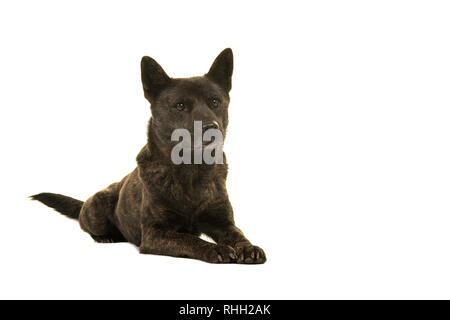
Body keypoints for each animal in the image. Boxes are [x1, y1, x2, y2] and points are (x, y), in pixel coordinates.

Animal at [32, 48, 268, 264]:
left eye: (215, 102)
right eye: (180, 105)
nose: (212, 129)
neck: (191, 170)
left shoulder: (223, 223)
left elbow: (238, 234)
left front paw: (248, 247)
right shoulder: (156, 234)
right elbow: (190, 240)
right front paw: (215, 249)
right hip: (98, 207)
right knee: (87, 226)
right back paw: (106, 236)